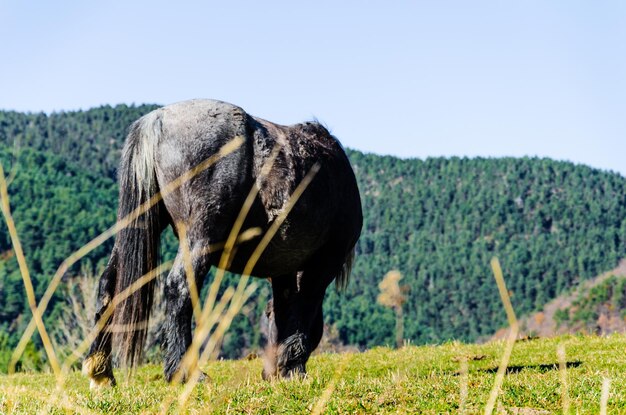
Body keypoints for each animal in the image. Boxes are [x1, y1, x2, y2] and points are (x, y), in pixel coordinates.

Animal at [81, 99, 360, 388]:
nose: (269, 370)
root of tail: (156, 121)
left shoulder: (283, 268)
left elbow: (283, 309)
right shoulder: (321, 265)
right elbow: (304, 308)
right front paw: (293, 367)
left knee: (110, 285)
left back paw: (101, 371)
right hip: (200, 237)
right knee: (179, 287)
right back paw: (185, 372)